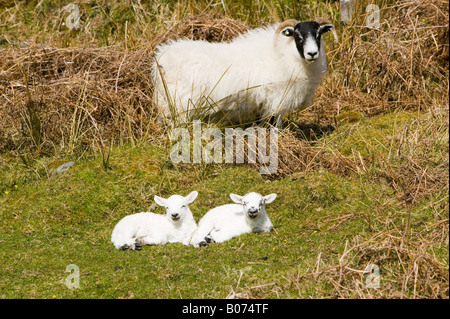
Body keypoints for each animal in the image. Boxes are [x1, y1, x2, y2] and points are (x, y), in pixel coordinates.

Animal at [153, 19, 332, 127]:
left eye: (318, 35)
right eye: (298, 36)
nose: (312, 53)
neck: (285, 54)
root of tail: (163, 60)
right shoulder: (277, 99)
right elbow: (276, 124)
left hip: (166, 101)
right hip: (181, 103)